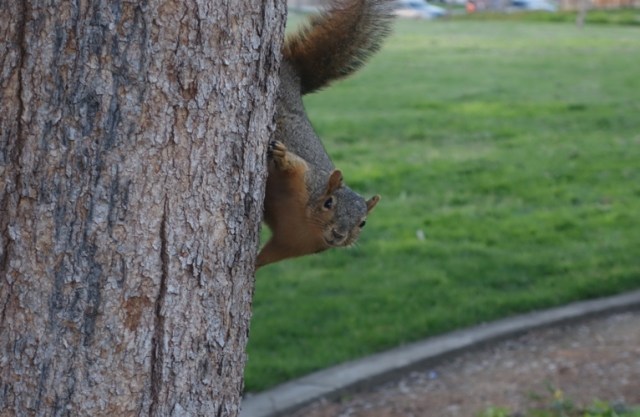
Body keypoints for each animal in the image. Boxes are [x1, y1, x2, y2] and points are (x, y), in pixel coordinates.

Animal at [256, 0, 394, 268]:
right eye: (328, 203)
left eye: (363, 223)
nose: (339, 235)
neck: (305, 221)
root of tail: (294, 74)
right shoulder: (307, 178)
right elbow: (295, 165)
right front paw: (282, 155)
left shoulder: (293, 244)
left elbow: (269, 255)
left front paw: (254, 267)